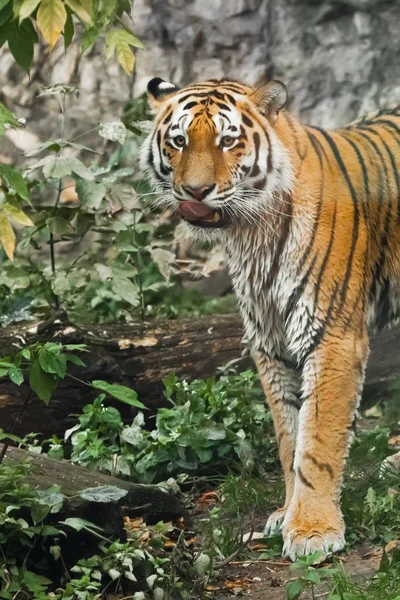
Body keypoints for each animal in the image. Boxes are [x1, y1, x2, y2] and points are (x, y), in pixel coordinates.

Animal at [139, 76, 400, 564]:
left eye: (227, 141)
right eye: (179, 141)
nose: (195, 191)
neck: (251, 233)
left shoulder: (331, 336)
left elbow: (317, 440)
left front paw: (314, 530)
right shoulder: (270, 340)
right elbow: (289, 436)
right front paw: (288, 513)